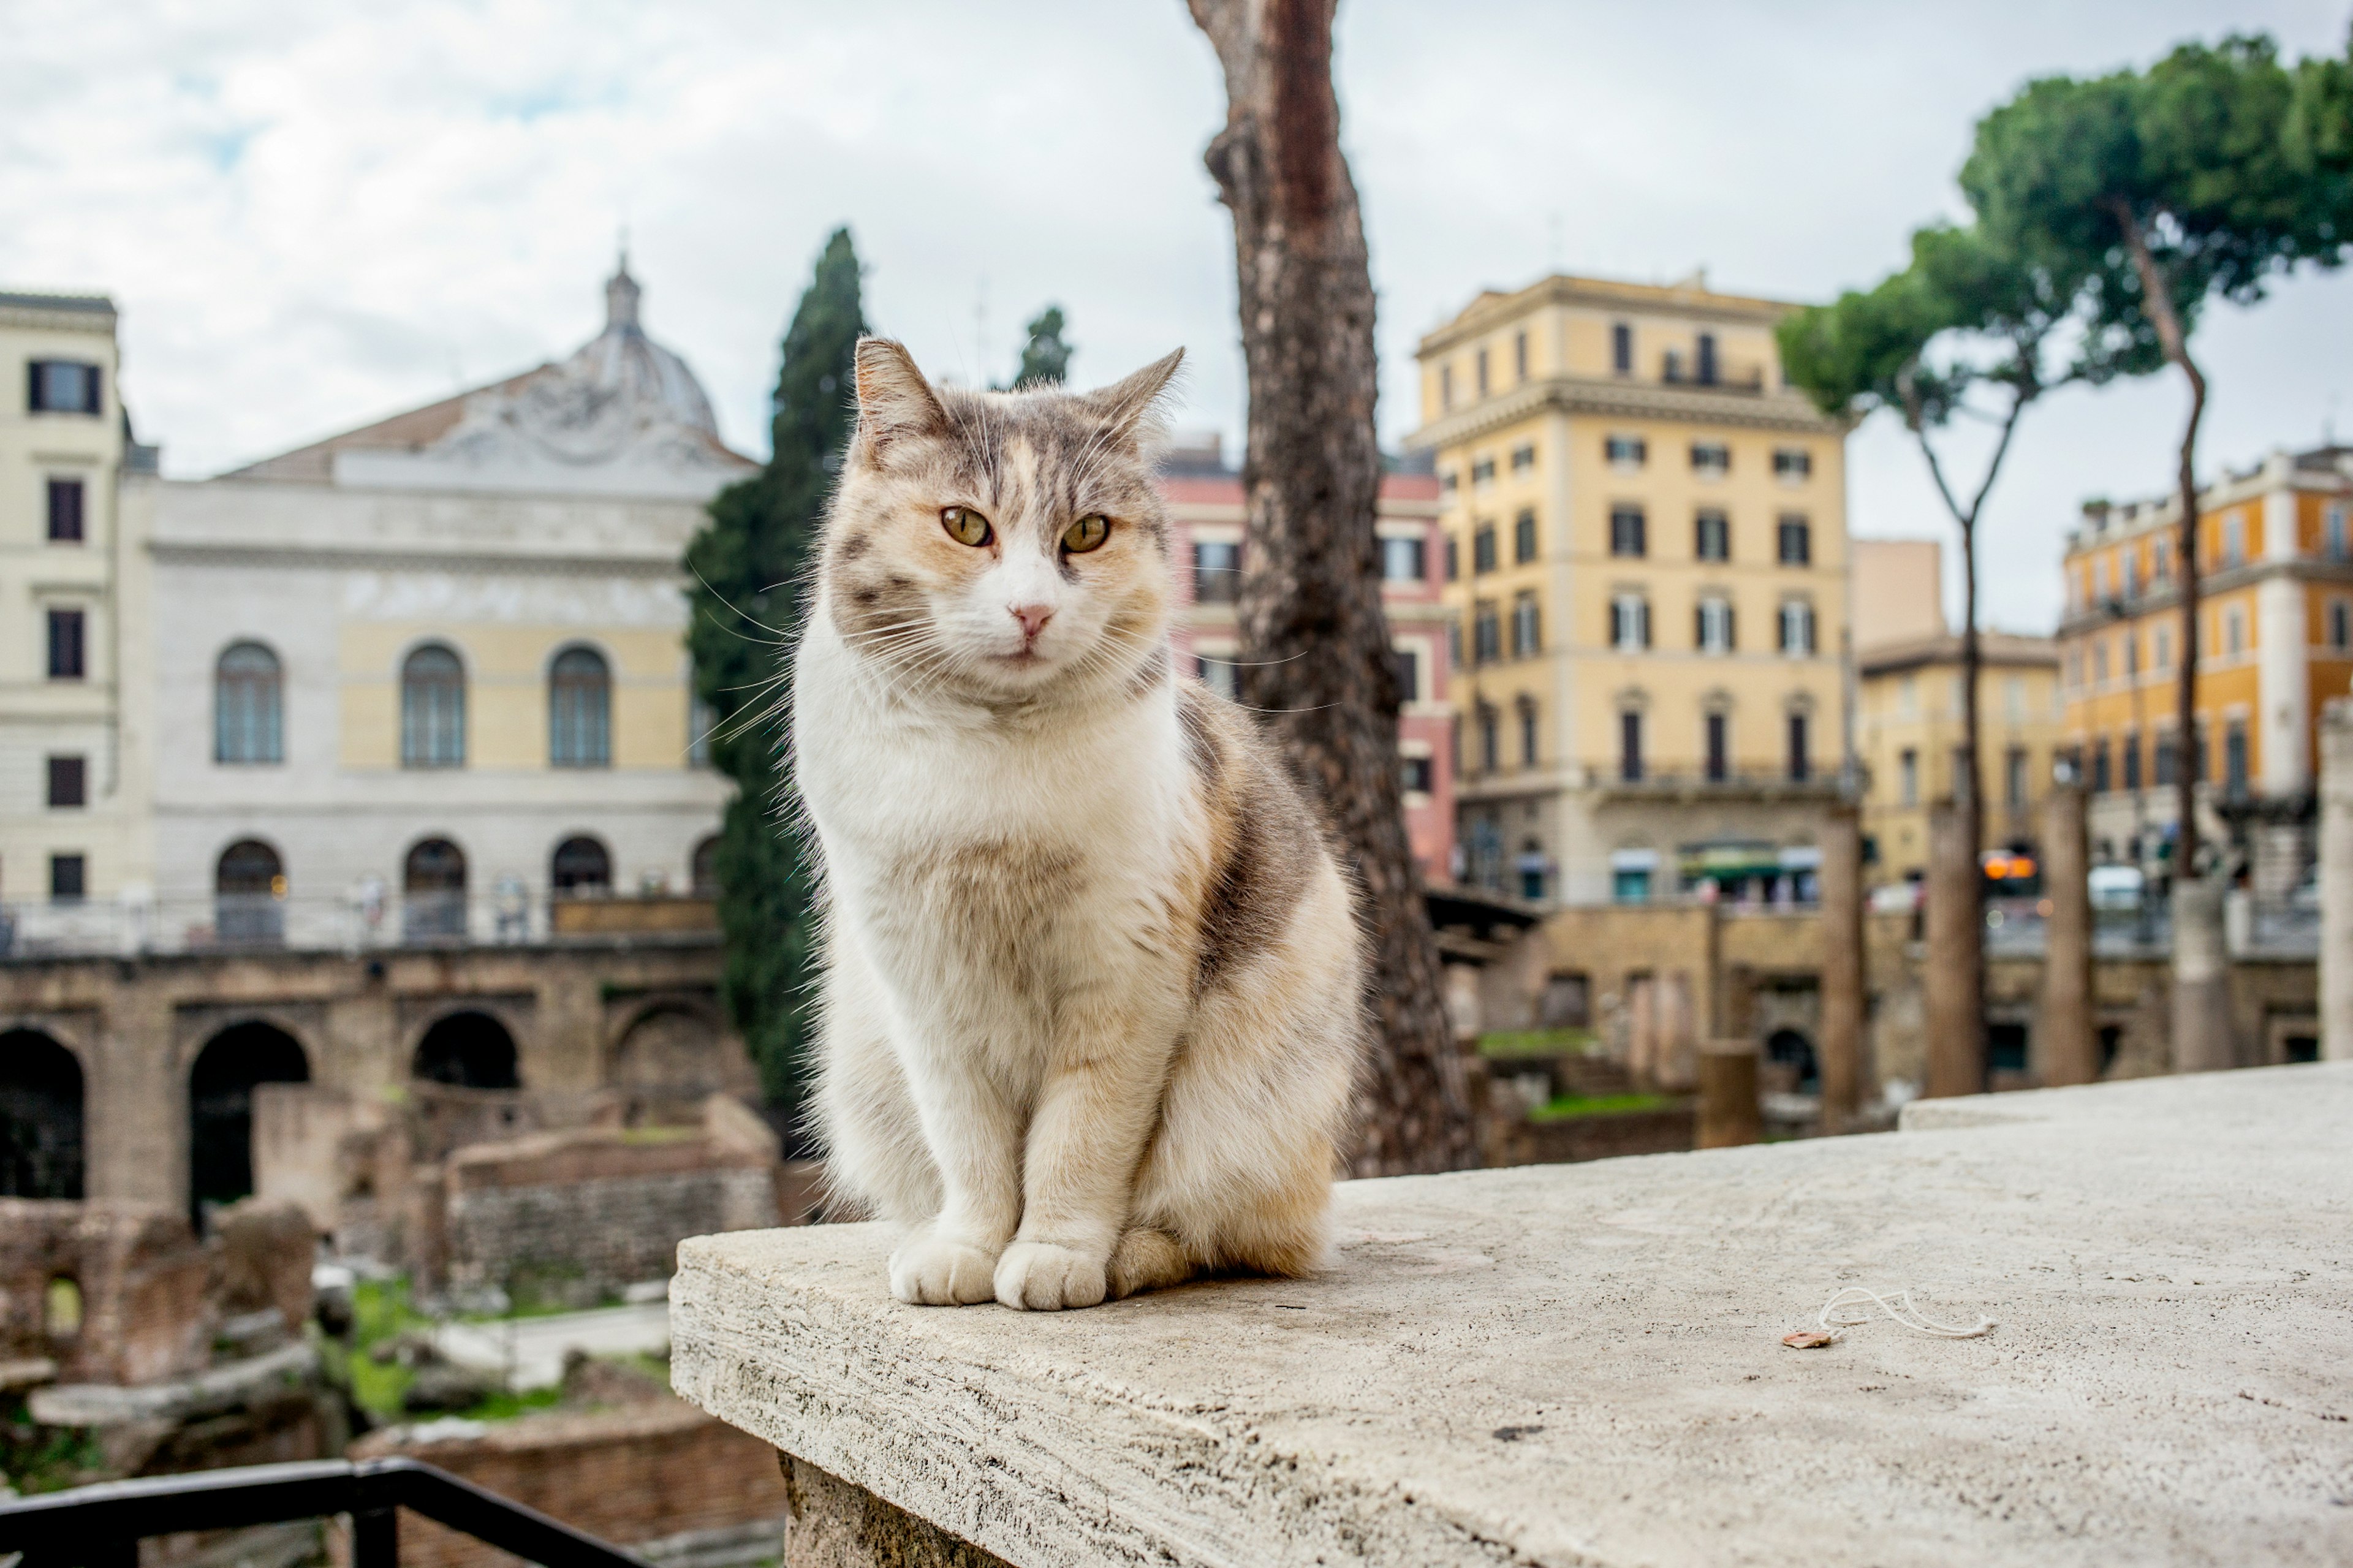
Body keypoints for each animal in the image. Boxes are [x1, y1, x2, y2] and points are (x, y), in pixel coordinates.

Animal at [795, 341, 1365, 1309]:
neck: (989, 756)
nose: (1031, 609)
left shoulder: (1124, 976)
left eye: (1089, 533)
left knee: (1220, 1233)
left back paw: (1128, 1256)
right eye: (965, 525)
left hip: (1250, 1110)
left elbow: (1081, 1136)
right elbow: (970, 1142)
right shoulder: (922, 981)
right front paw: (968, 1247)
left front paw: (1055, 1253)